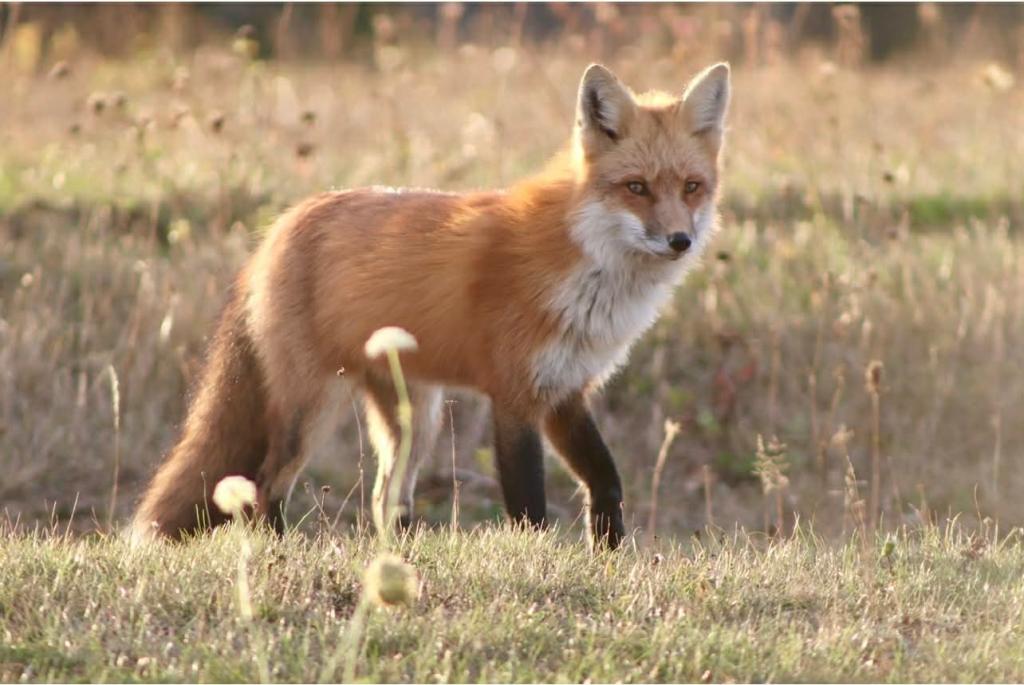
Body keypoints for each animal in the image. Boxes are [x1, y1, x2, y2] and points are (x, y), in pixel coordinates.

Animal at [132, 62, 731, 549]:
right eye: (636, 188)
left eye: (692, 187)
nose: (680, 240)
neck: (588, 272)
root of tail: (281, 225)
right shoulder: (515, 395)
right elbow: (530, 509)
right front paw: (541, 563)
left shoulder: (565, 390)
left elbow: (606, 482)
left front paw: (607, 557)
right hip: (312, 407)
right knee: (265, 486)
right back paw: (281, 552)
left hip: (413, 418)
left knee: (383, 500)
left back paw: (396, 561)